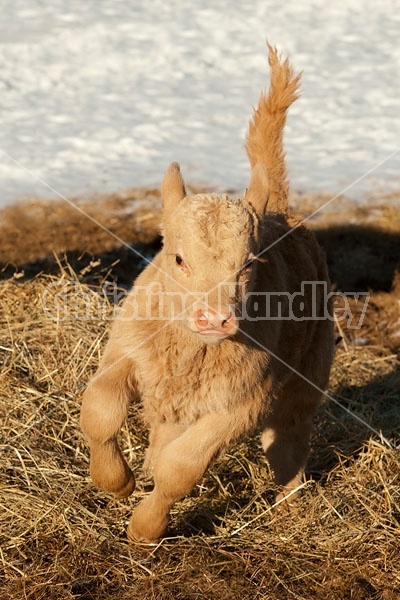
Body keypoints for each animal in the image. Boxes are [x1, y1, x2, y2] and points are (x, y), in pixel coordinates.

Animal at [79, 45, 334, 544]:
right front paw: (117, 483)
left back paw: (290, 507)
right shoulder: (125, 352)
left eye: (250, 264)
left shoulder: (243, 403)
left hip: (309, 369)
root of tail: (282, 210)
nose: (215, 319)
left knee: (288, 436)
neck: (189, 351)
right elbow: (98, 409)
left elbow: (183, 467)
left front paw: (145, 528)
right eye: (178, 259)